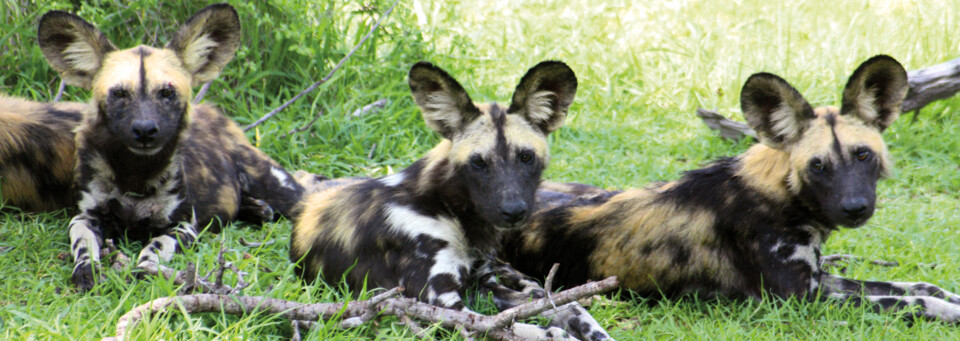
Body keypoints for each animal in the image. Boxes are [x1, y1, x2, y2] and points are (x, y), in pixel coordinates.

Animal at [38, 3, 304, 290]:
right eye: (119, 93)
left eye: (167, 93)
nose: (145, 130)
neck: (135, 172)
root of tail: (218, 115)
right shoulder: (85, 217)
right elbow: (83, 245)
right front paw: (87, 270)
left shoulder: (183, 227)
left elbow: (154, 246)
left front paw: (145, 269)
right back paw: (256, 209)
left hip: (281, 189)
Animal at [292, 60, 612, 338]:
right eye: (478, 162)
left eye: (526, 157)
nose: (513, 211)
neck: (450, 210)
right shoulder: (440, 304)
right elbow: (534, 330)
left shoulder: (486, 285)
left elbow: (565, 310)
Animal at [502, 55, 960, 322]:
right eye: (818, 166)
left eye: (863, 155)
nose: (855, 207)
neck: (779, 197)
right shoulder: (800, 297)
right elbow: (914, 301)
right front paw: (945, 313)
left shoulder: (820, 279)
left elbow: (921, 288)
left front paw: (950, 299)